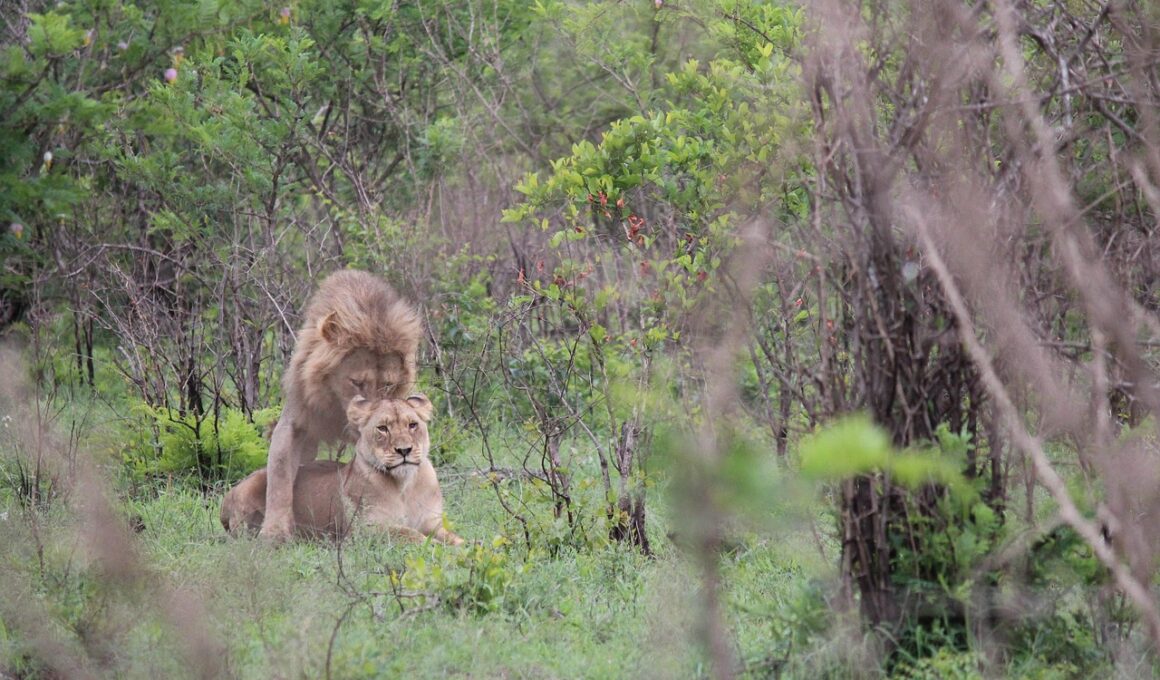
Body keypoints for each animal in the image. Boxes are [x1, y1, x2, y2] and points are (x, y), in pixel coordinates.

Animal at [221, 395, 463, 545]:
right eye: (382, 428)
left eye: (413, 425)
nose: (404, 450)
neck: (405, 485)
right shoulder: (366, 529)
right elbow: (410, 535)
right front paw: (438, 549)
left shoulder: (432, 523)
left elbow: (454, 537)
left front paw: (466, 546)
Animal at [260, 269, 423, 542]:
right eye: (356, 382)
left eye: (388, 385)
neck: (337, 407)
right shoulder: (295, 421)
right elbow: (280, 474)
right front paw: (274, 531)